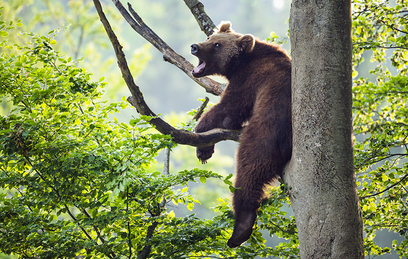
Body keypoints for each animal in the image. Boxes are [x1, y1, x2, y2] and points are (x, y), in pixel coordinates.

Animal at [190, 21, 292, 248]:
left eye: (217, 44)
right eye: (210, 38)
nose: (195, 46)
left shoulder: (250, 79)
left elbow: (228, 109)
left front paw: (203, 149)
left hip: (265, 132)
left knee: (249, 169)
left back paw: (240, 229)